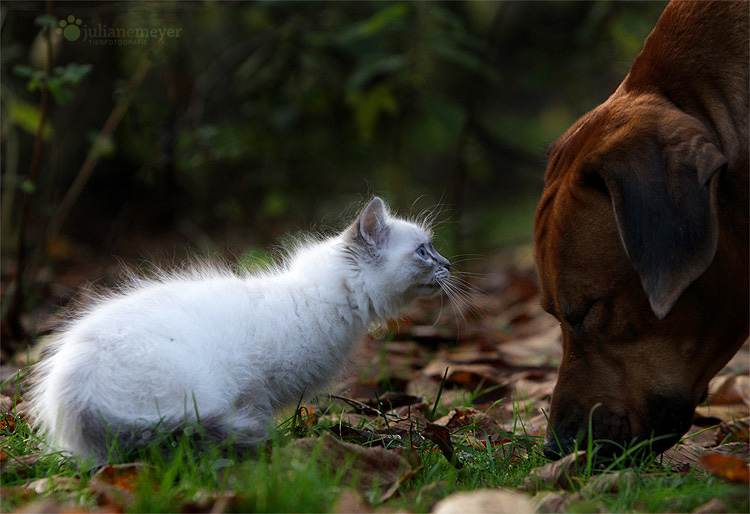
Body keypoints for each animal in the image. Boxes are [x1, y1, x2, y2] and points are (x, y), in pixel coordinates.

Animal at [29, 196, 452, 464]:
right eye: (423, 252)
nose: (447, 264)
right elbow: (259, 411)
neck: (314, 298)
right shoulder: (255, 388)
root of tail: (78, 402)